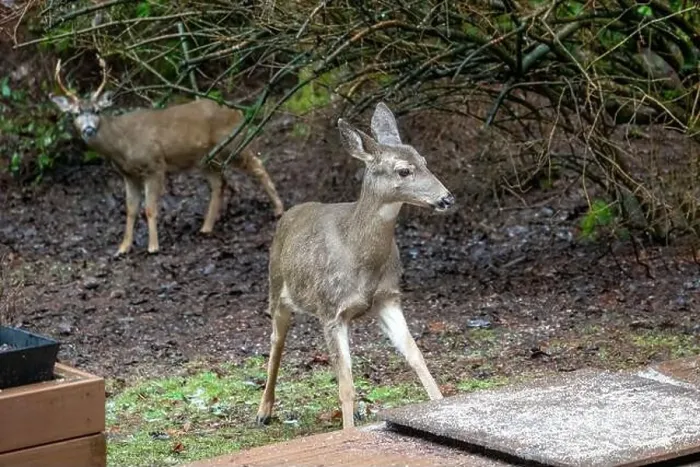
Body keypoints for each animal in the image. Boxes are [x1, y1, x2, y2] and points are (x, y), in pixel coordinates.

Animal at [50, 56, 284, 256]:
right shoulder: (128, 175)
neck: (122, 145)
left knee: (258, 165)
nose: (88, 129)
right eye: (75, 113)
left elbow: (150, 208)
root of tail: (238, 111)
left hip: (233, 144)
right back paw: (206, 227)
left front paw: (153, 247)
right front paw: (123, 248)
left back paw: (279, 209)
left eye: (97, 111)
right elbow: (130, 209)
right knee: (220, 183)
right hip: (205, 159)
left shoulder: (154, 165)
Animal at [255, 102, 455, 430]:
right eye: (403, 170)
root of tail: (290, 213)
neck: (360, 257)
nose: (447, 198)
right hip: (277, 288)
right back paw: (263, 412)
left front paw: (439, 404)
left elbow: (416, 356)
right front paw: (347, 431)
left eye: (425, 161)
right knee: (276, 342)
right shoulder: (331, 311)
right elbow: (345, 385)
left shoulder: (388, 298)